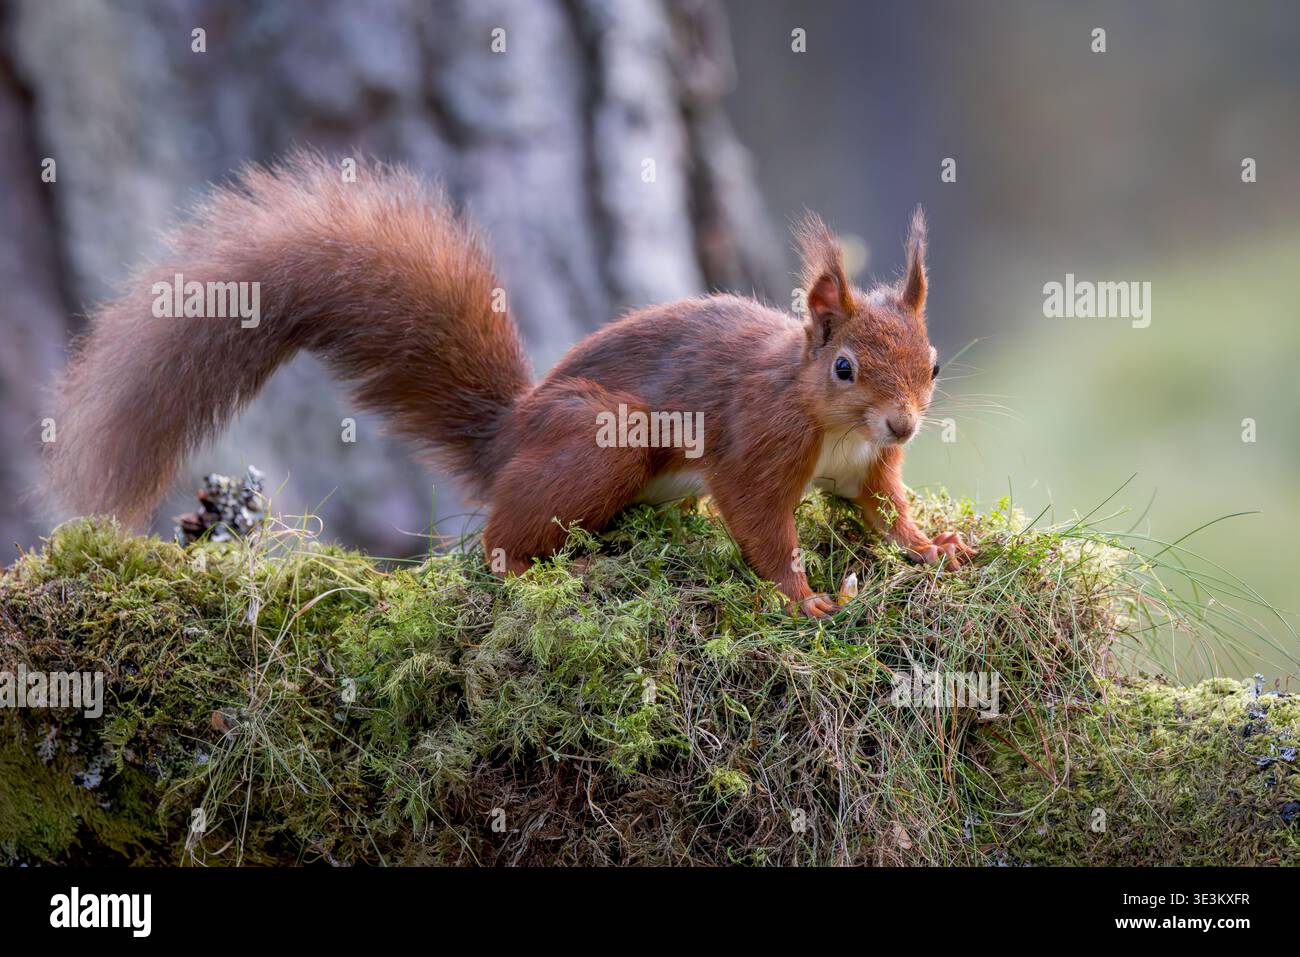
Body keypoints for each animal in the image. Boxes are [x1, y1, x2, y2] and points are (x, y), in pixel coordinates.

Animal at [48, 152, 973, 618]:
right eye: (845, 367)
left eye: (931, 364)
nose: (903, 426)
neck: (833, 422)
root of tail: (507, 439)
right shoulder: (758, 443)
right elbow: (759, 523)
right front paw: (804, 597)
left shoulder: (866, 469)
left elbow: (885, 512)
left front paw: (935, 546)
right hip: (600, 441)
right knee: (500, 541)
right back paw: (541, 571)